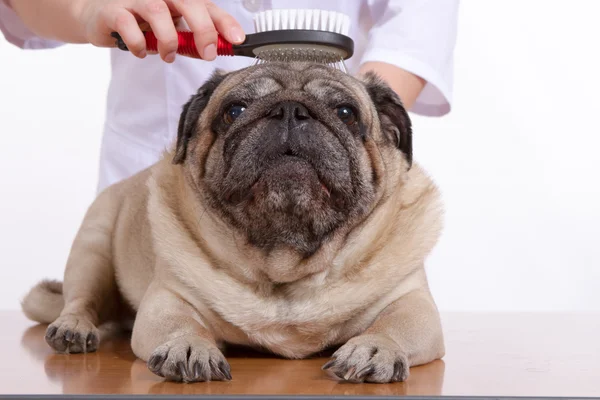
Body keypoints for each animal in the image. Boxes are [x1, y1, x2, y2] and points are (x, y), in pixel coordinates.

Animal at [22, 62, 446, 384]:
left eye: (345, 113)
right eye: (235, 110)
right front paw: (188, 346)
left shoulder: (413, 304)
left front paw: (375, 348)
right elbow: (182, 324)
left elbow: (393, 326)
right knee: (81, 299)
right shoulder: (167, 301)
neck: (285, 259)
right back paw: (74, 327)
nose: (290, 110)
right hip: (92, 245)